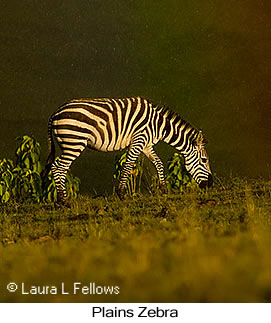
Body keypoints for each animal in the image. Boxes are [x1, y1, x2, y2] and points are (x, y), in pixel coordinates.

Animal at [44, 95, 214, 205]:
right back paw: (63, 200)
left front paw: (164, 189)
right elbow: (128, 166)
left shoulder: (147, 145)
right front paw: (122, 194)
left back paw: (61, 200)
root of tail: (56, 113)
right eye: (204, 160)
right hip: (74, 142)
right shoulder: (139, 140)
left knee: (58, 167)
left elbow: (159, 163)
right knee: (58, 167)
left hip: (69, 143)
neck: (157, 125)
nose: (210, 184)